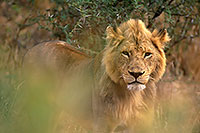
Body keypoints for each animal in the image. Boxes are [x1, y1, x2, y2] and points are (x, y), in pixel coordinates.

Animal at [23, 19, 170, 132]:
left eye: (147, 54)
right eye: (125, 53)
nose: (136, 73)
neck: (132, 97)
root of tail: (30, 50)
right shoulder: (103, 125)